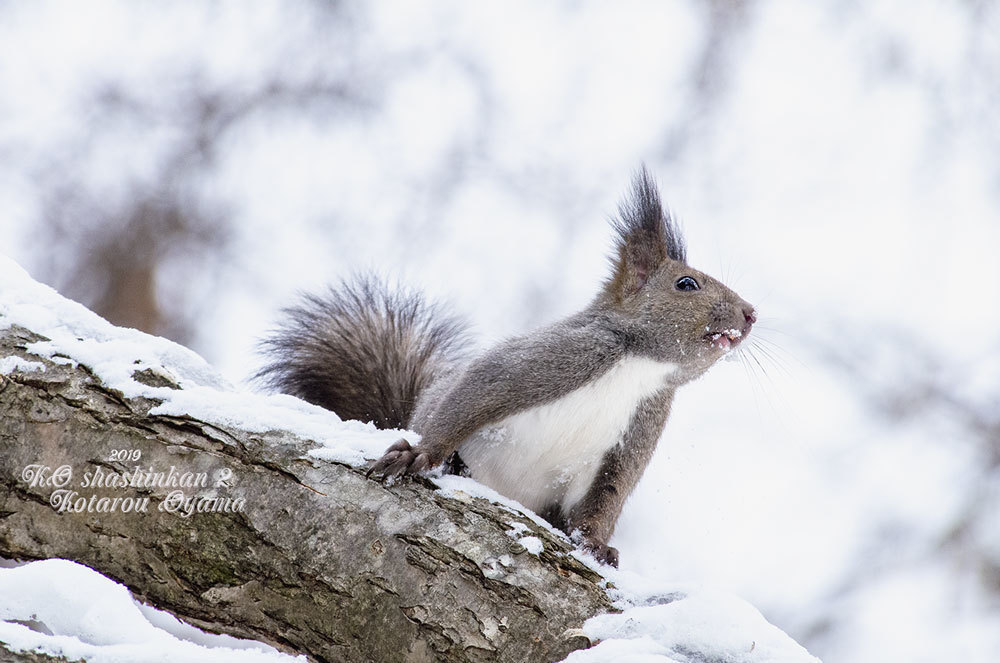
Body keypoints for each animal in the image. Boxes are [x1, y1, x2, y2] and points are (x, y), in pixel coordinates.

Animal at [254, 167, 752, 564]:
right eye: (686, 284)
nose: (750, 314)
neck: (639, 365)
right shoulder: (554, 359)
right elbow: (474, 396)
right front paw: (422, 454)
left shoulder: (640, 427)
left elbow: (606, 497)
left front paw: (595, 545)